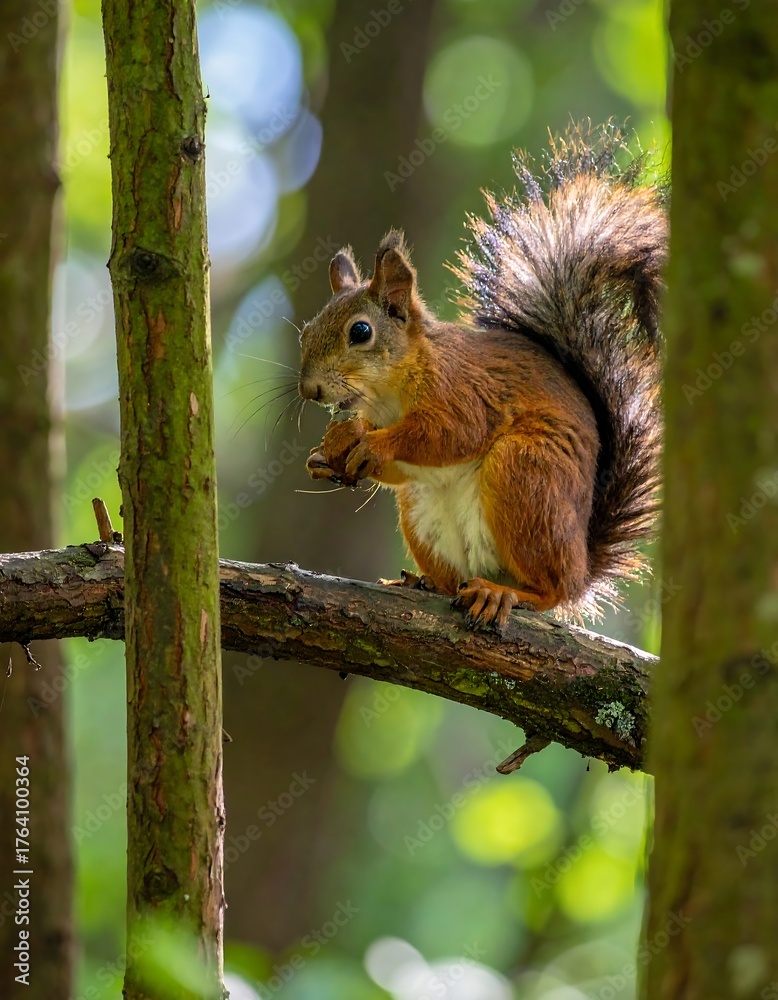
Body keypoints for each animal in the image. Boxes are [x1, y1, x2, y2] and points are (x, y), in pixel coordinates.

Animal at [298, 122, 666, 628]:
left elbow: (450, 433)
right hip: (423, 513)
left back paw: (502, 593)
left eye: (360, 332)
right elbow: (397, 469)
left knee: (549, 589)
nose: (309, 389)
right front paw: (325, 455)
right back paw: (423, 581)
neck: (390, 395)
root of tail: (582, 567)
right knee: (452, 575)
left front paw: (374, 444)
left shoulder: (463, 390)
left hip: (526, 474)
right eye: (306, 332)